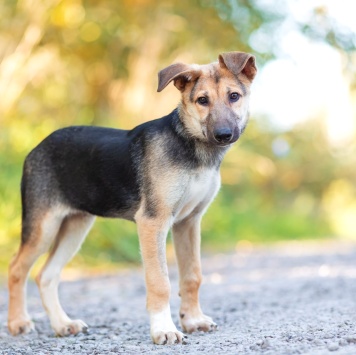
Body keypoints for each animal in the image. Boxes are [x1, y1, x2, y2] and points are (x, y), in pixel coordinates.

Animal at [7, 51, 256, 346]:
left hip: (76, 226)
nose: (223, 135)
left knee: (46, 275)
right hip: (43, 225)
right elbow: (160, 282)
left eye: (234, 96)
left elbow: (192, 276)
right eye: (202, 100)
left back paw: (63, 324)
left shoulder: (189, 222)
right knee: (16, 269)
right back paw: (18, 323)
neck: (193, 148)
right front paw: (164, 329)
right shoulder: (153, 221)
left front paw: (193, 320)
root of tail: (36, 147)